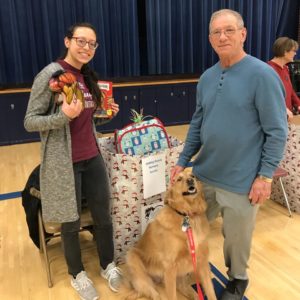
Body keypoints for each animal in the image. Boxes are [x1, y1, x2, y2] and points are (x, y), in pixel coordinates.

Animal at [120, 170, 217, 298]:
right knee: (154, 293)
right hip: (133, 258)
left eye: (193, 176)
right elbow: (172, 295)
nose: (190, 180)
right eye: (179, 179)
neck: (187, 215)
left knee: (185, 289)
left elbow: (211, 291)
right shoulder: (170, 266)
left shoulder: (202, 260)